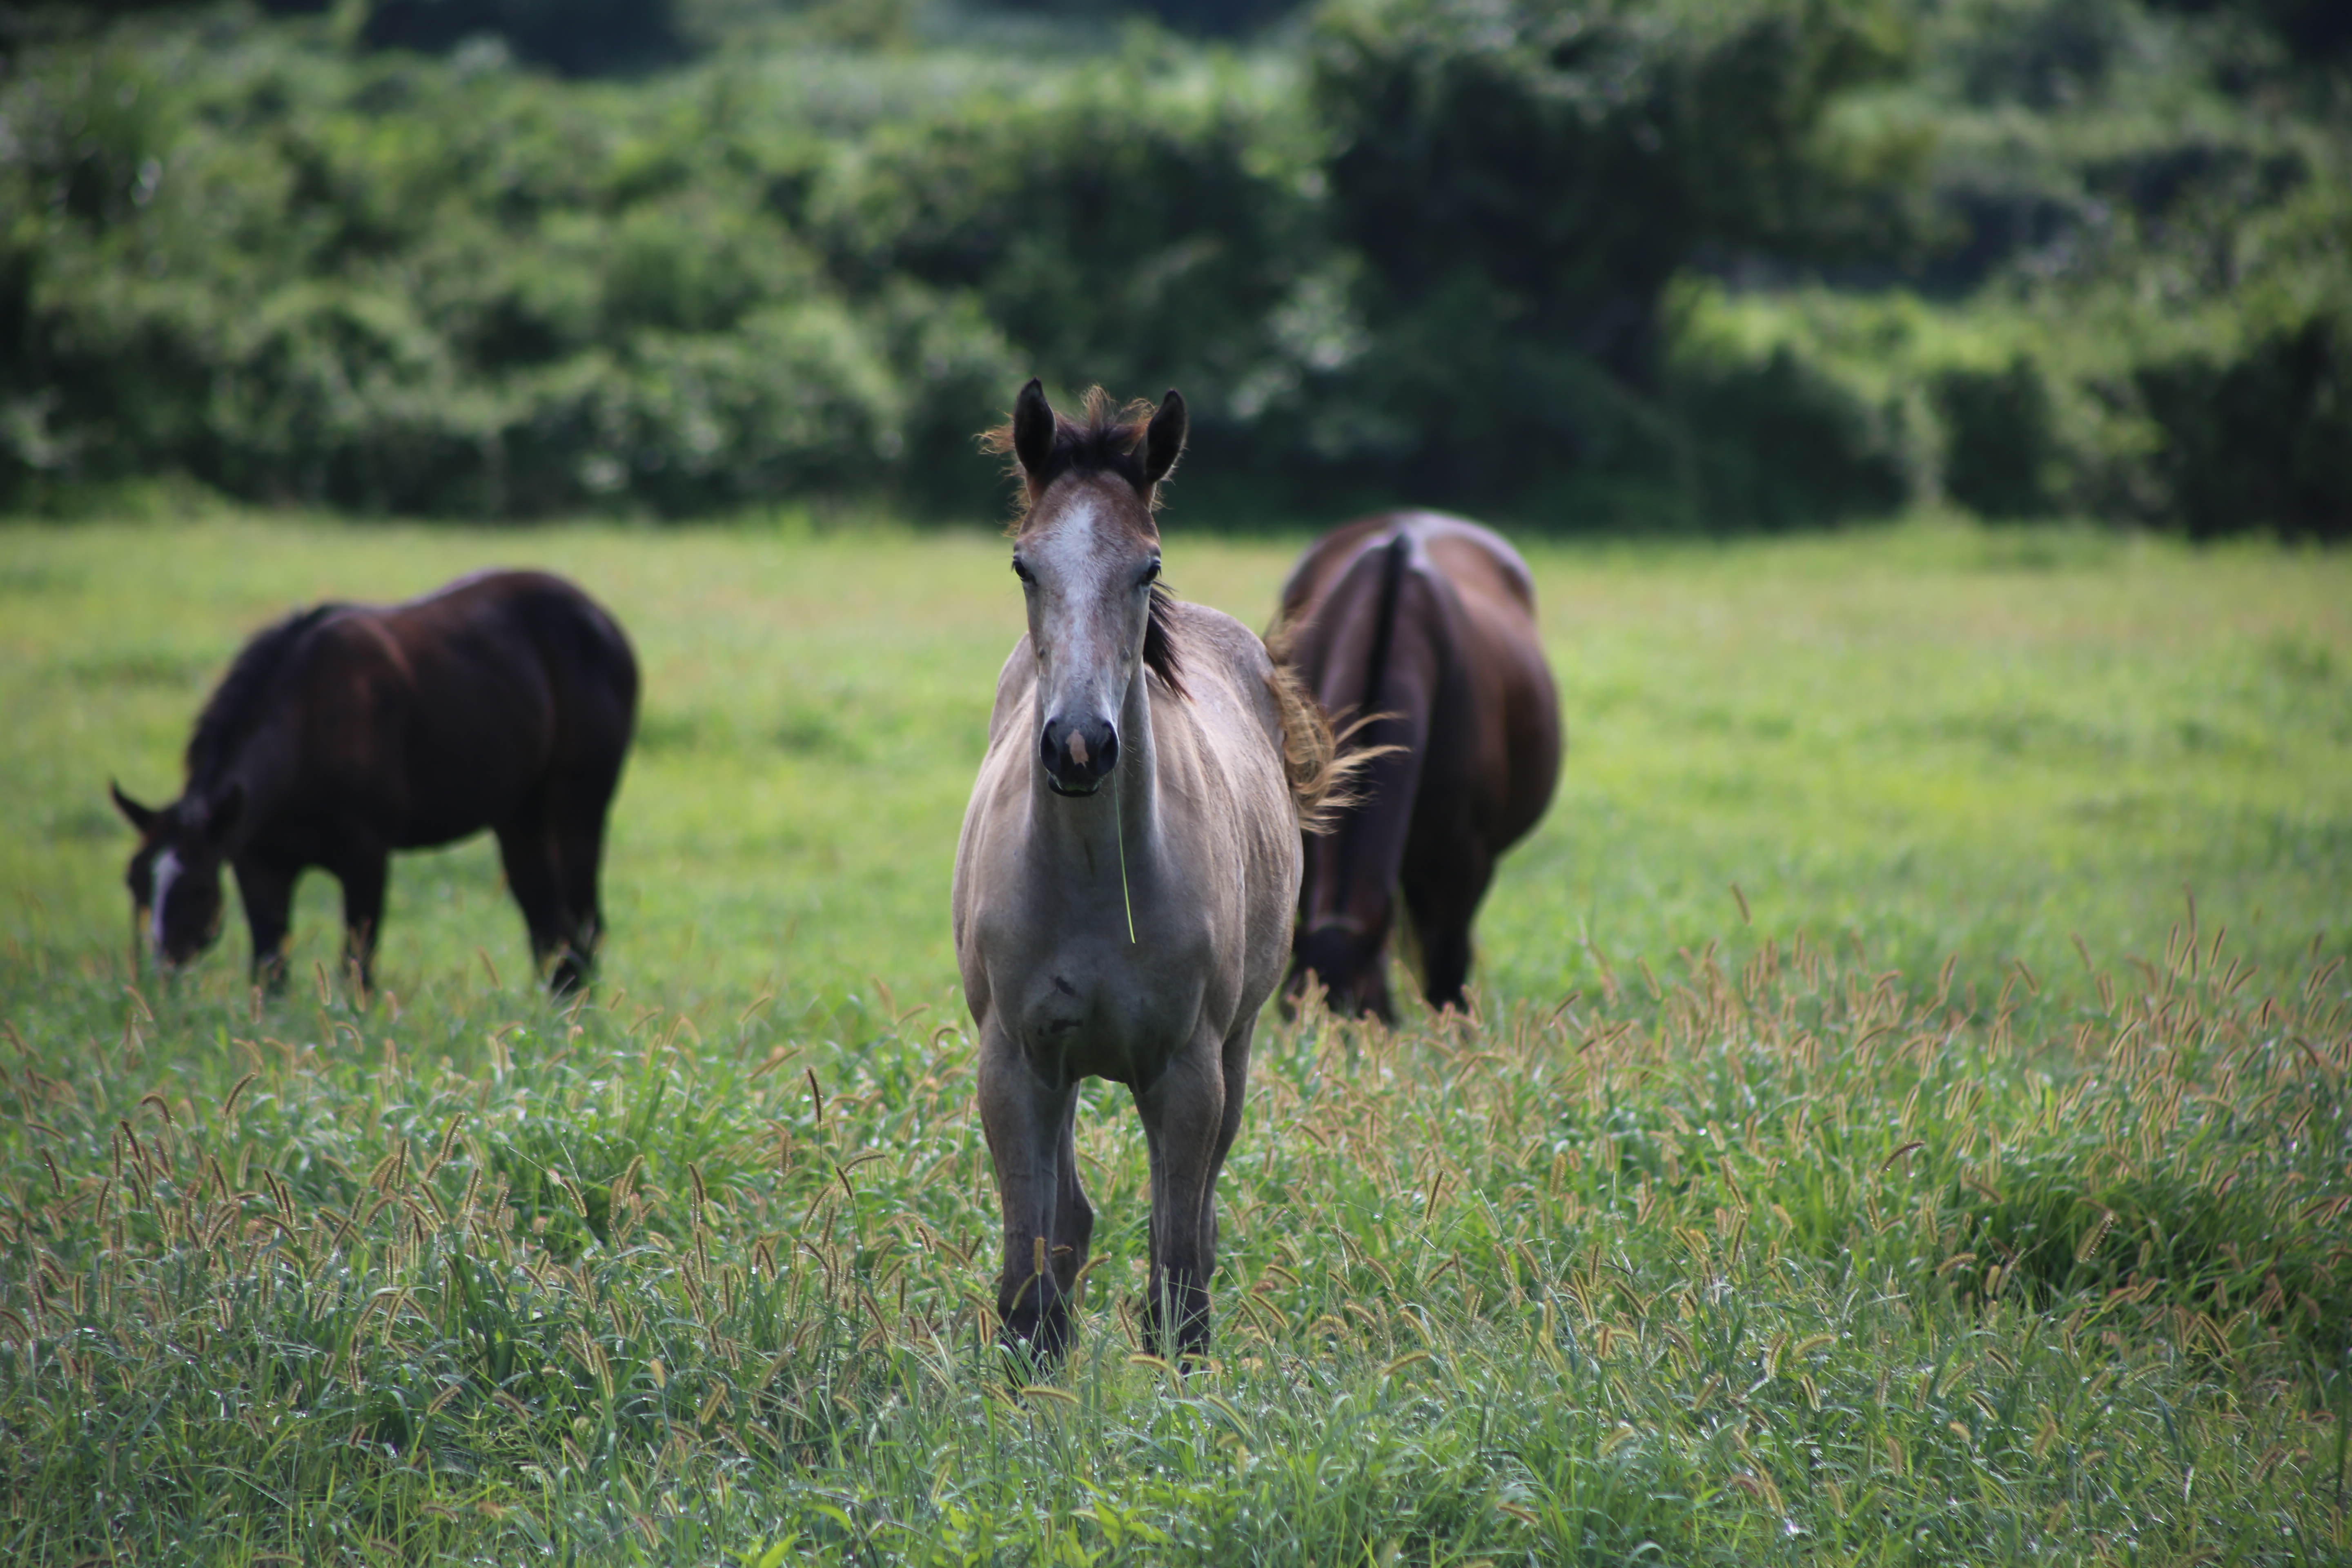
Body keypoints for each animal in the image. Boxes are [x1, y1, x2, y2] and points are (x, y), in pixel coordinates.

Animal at [112, 573, 635, 992]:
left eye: (200, 889)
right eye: (134, 882)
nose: (159, 975)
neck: (306, 725)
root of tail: (603, 622)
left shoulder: (366, 856)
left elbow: (357, 967)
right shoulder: (258, 863)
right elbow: (271, 968)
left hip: (579, 805)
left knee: (586, 925)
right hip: (519, 815)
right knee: (549, 926)